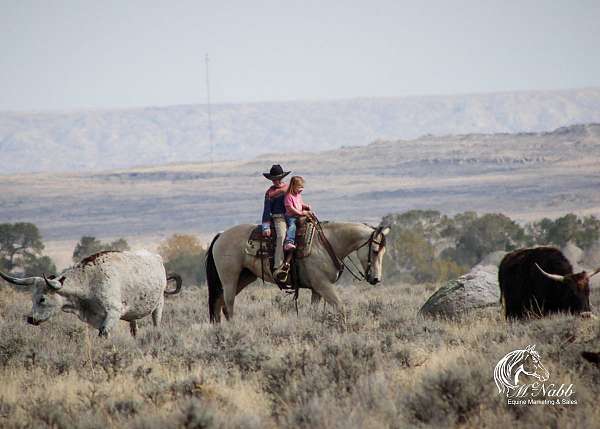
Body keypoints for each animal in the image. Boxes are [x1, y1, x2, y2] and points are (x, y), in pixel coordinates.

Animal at [204, 221, 390, 320]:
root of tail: (220, 235)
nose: (376, 279)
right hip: (230, 278)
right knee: (228, 305)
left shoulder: (317, 290)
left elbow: (314, 311)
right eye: (375, 251)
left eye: (383, 252)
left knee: (219, 304)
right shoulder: (323, 286)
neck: (327, 243)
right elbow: (340, 307)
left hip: (244, 278)